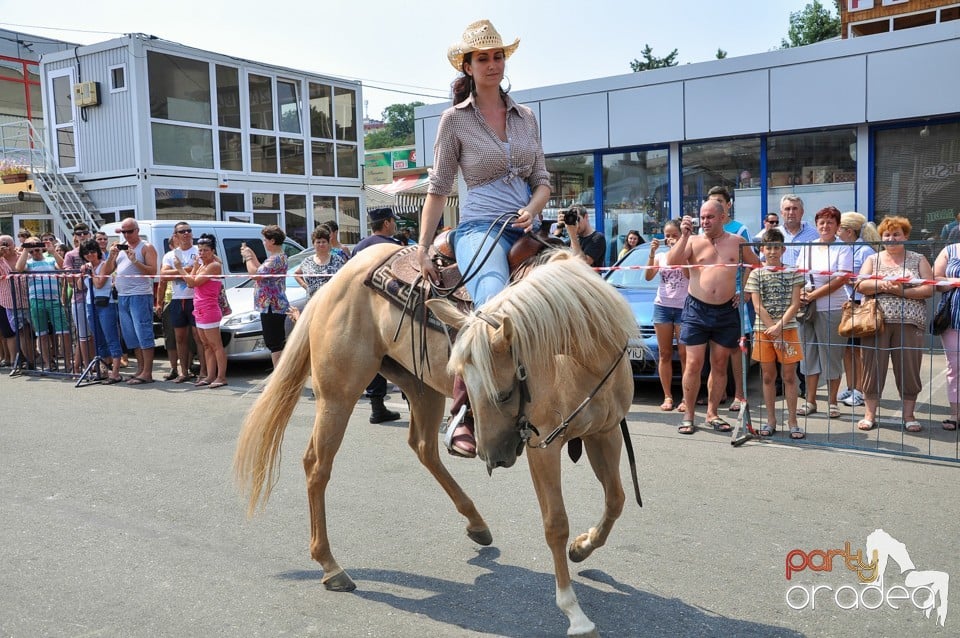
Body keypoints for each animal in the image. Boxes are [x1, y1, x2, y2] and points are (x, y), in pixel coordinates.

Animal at [234, 244, 636, 636]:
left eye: (505, 393)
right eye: (475, 387)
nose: (494, 456)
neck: (581, 357)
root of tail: (337, 279)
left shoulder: (605, 433)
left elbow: (616, 499)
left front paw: (583, 547)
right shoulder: (544, 446)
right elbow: (555, 523)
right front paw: (575, 613)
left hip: (420, 386)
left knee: (423, 448)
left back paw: (477, 523)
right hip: (339, 394)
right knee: (318, 465)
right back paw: (331, 566)